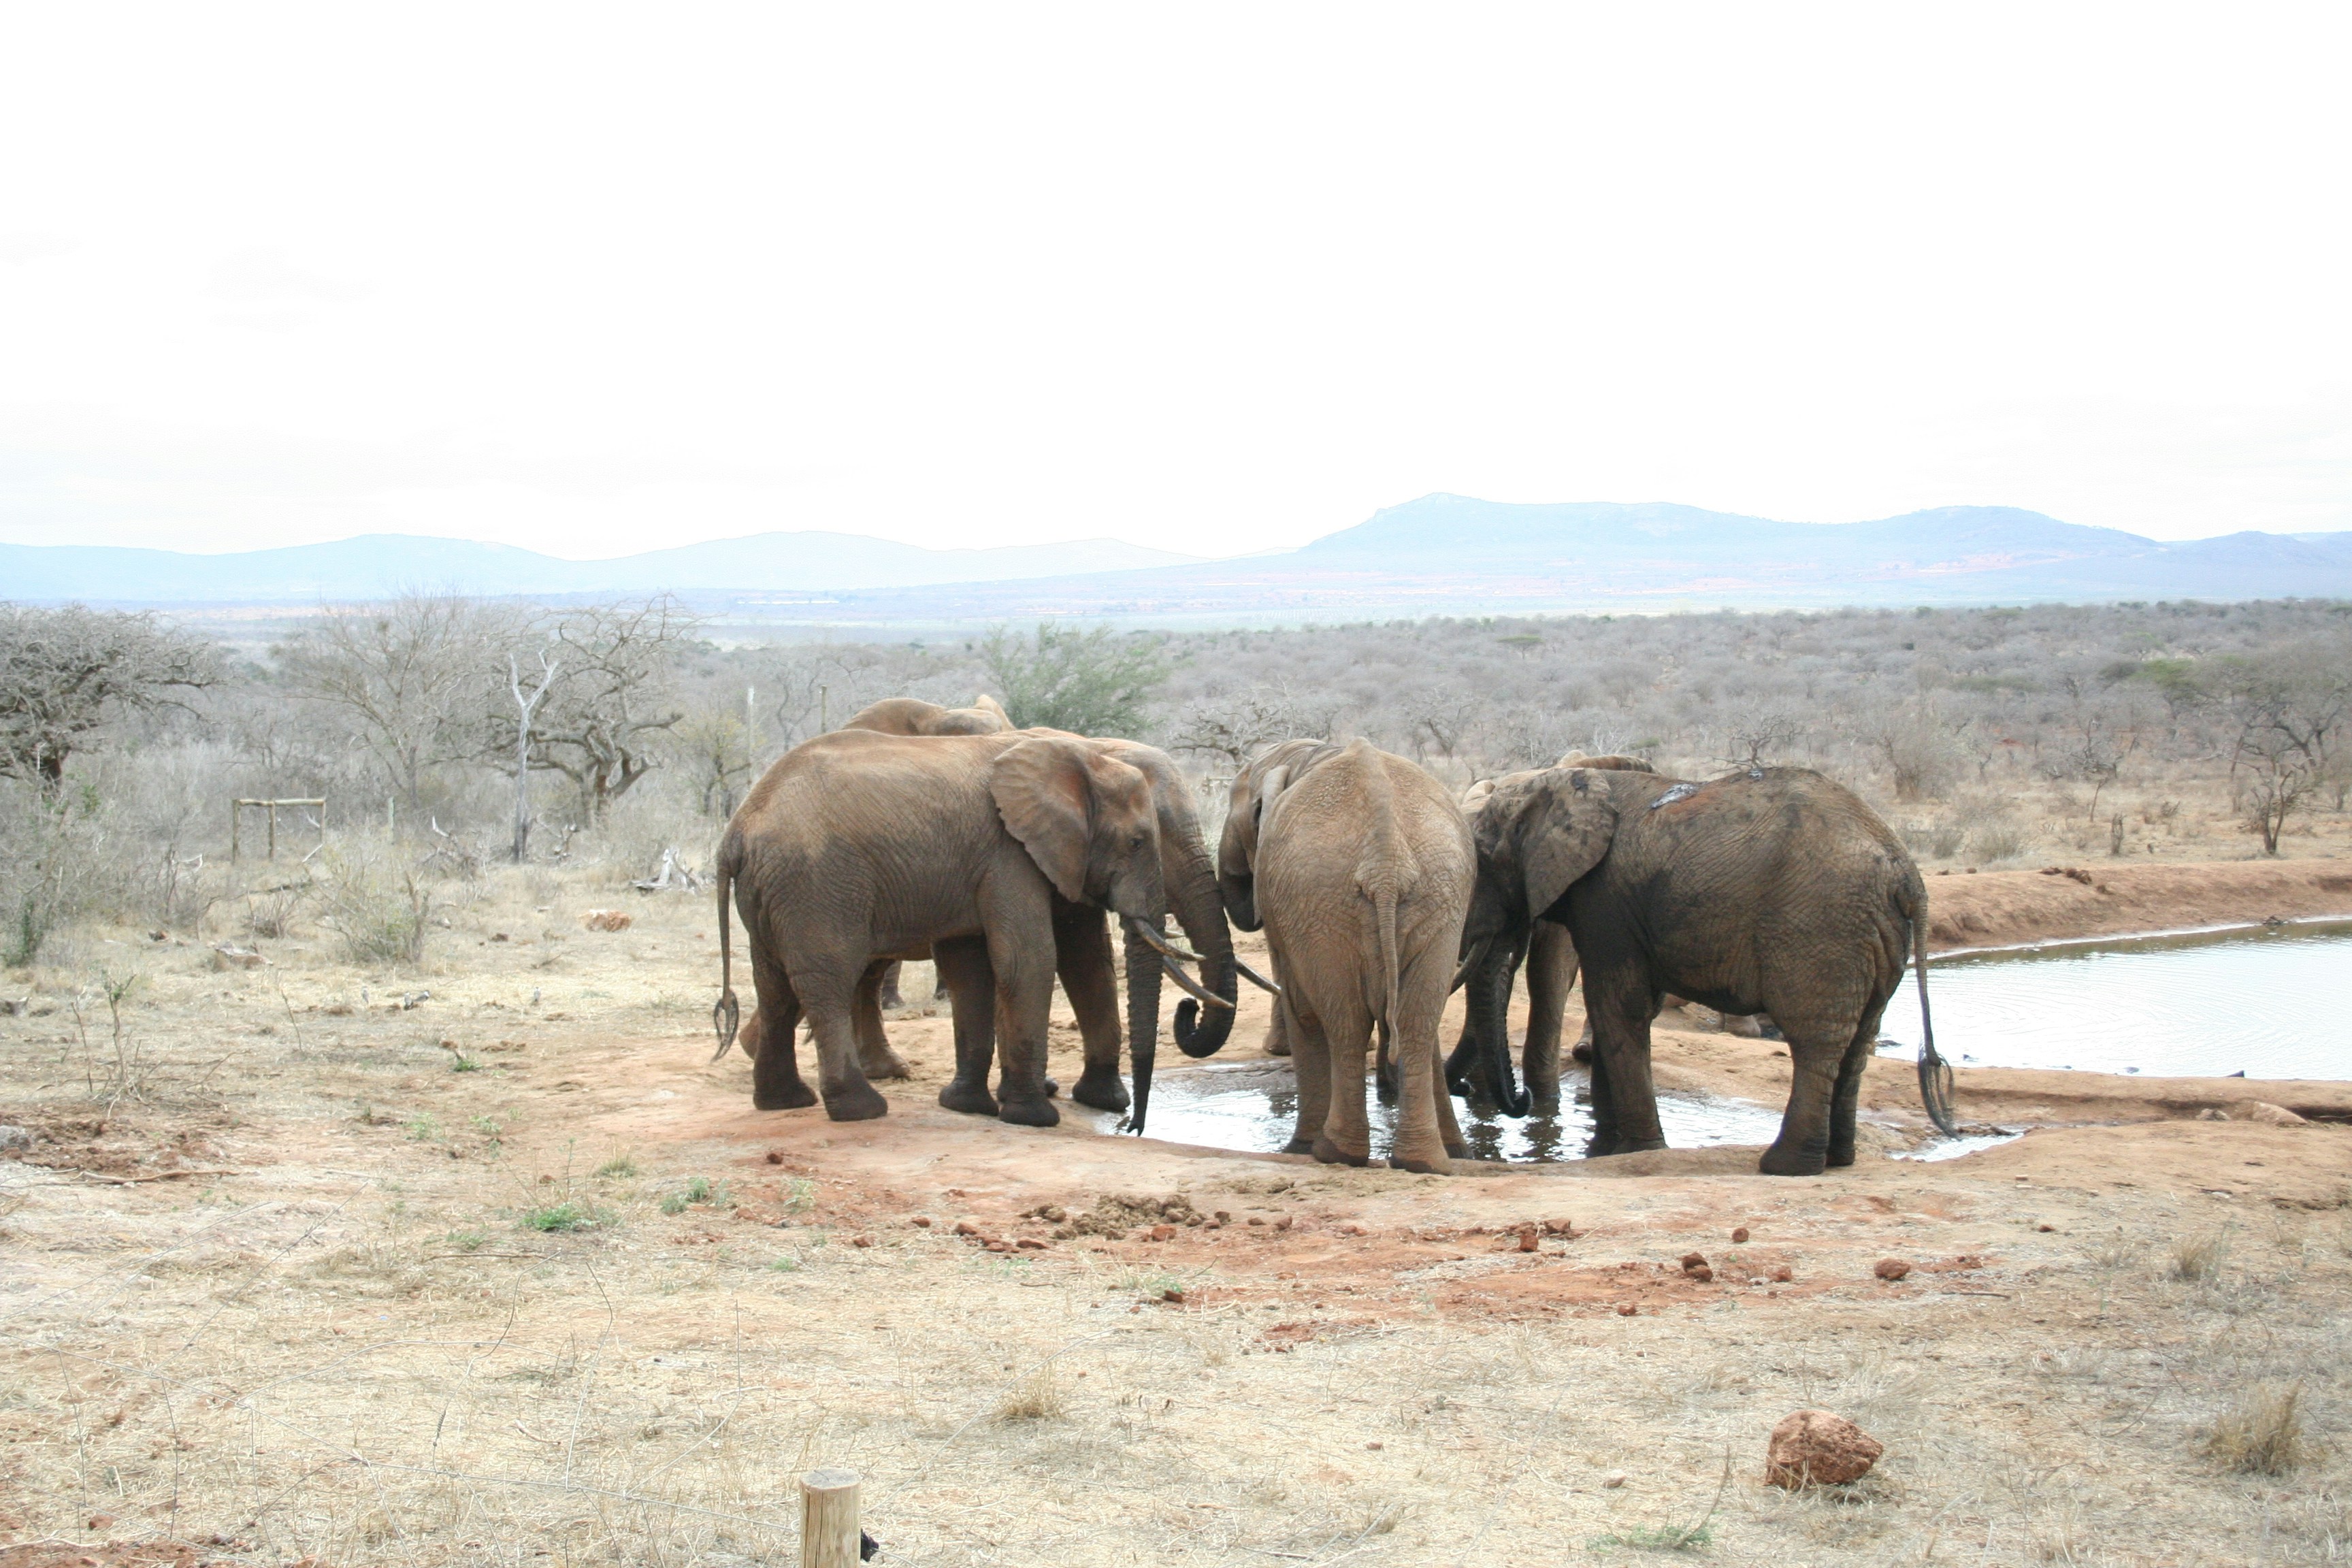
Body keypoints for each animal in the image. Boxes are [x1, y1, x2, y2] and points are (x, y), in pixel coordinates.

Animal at [713, 728, 1238, 1126]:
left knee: (776, 986)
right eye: (1139, 841)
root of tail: (736, 832)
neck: (1086, 751)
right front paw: (1033, 1116)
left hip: (775, 892)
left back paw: (784, 1101)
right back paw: (861, 1109)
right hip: (817, 885)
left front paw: (977, 1105)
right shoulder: (1010, 853)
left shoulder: (1046, 858)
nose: (1133, 1126)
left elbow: (1067, 962)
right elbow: (1030, 959)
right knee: (829, 982)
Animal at [1219, 738, 1475, 1173]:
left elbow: (1300, 1006)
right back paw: (1424, 1161)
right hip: (1438, 896)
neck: (1308, 752)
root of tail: (1386, 860)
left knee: (1343, 1020)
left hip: (1319, 900)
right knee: (1416, 1019)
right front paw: (1461, 1152)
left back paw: (1329, 1152)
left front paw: (1298, 1150)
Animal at [1456, 763, 1930, 1176]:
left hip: (1821, 926)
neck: (1556, 784)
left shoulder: (1607, 899)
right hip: (1875, 936)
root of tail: (1906, 874)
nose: (1521, 1098)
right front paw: (1606, 1151)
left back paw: (1785, 1167)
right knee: (1859, 1040)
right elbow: (1623, 1010)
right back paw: (1838, 1160)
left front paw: (1636, 1150)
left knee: (1815, 1041)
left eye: (1484, 861)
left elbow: (1617, 1006)